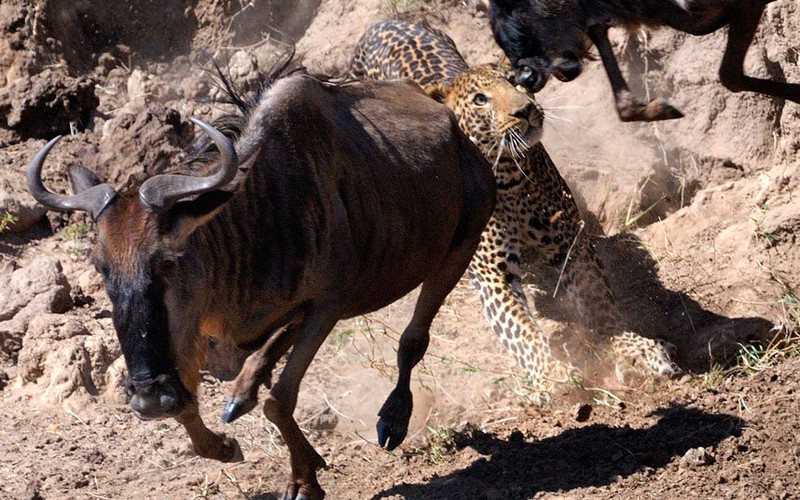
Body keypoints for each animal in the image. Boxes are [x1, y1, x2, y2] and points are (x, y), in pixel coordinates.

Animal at [350, 19, 676, 394]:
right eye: (480, 100)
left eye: (514, 81)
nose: (525, 110)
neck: (509, 176)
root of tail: (382, 22)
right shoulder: (494, 271)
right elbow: (521, 329)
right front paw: (553, 375)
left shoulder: (569, 242)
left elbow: (598, 301)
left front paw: (631, 346)